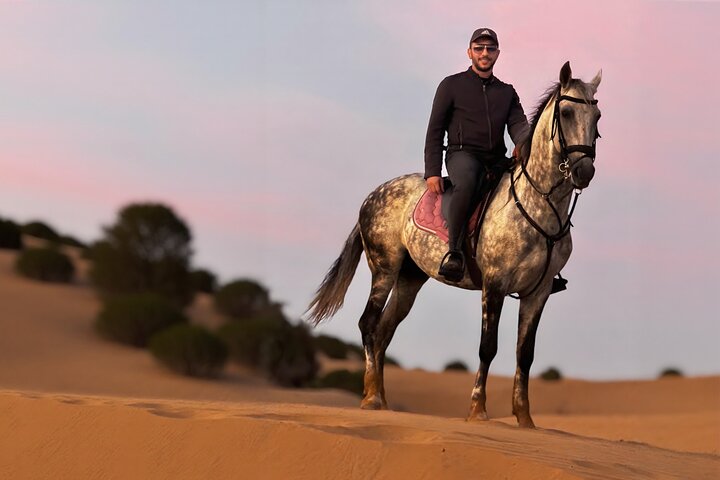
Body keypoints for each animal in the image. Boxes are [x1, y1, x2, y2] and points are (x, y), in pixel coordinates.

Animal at [306, 62, 602, 428]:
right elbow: (488, 347)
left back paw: (384, 401)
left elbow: (525, 354)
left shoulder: (539, 291)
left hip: (410, 279)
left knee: (385, 330)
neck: (539, 204)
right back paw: (371, 398)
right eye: (566, 112)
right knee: (369, 324)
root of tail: (373, 194)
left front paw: (525, 418)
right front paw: (478, 410)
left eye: (597, 116)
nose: (584, 171)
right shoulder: (495, 285)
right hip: (384, 269)